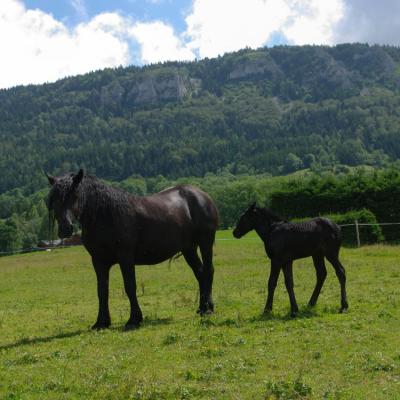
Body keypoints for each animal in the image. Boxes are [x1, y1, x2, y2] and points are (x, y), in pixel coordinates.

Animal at [47, 170, 219, 330]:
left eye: (74, 195)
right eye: (54, 198)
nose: (65, 229)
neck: (105, 215)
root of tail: (201, 195)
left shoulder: (126, 258)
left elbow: (130, 286)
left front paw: (133, 320)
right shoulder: (99, 261)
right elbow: (102, 290)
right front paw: (101, 322)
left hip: (205, 243)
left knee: (208, 271)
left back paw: (208, 309)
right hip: (189, 249)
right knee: (200, 274)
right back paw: (202, 308)